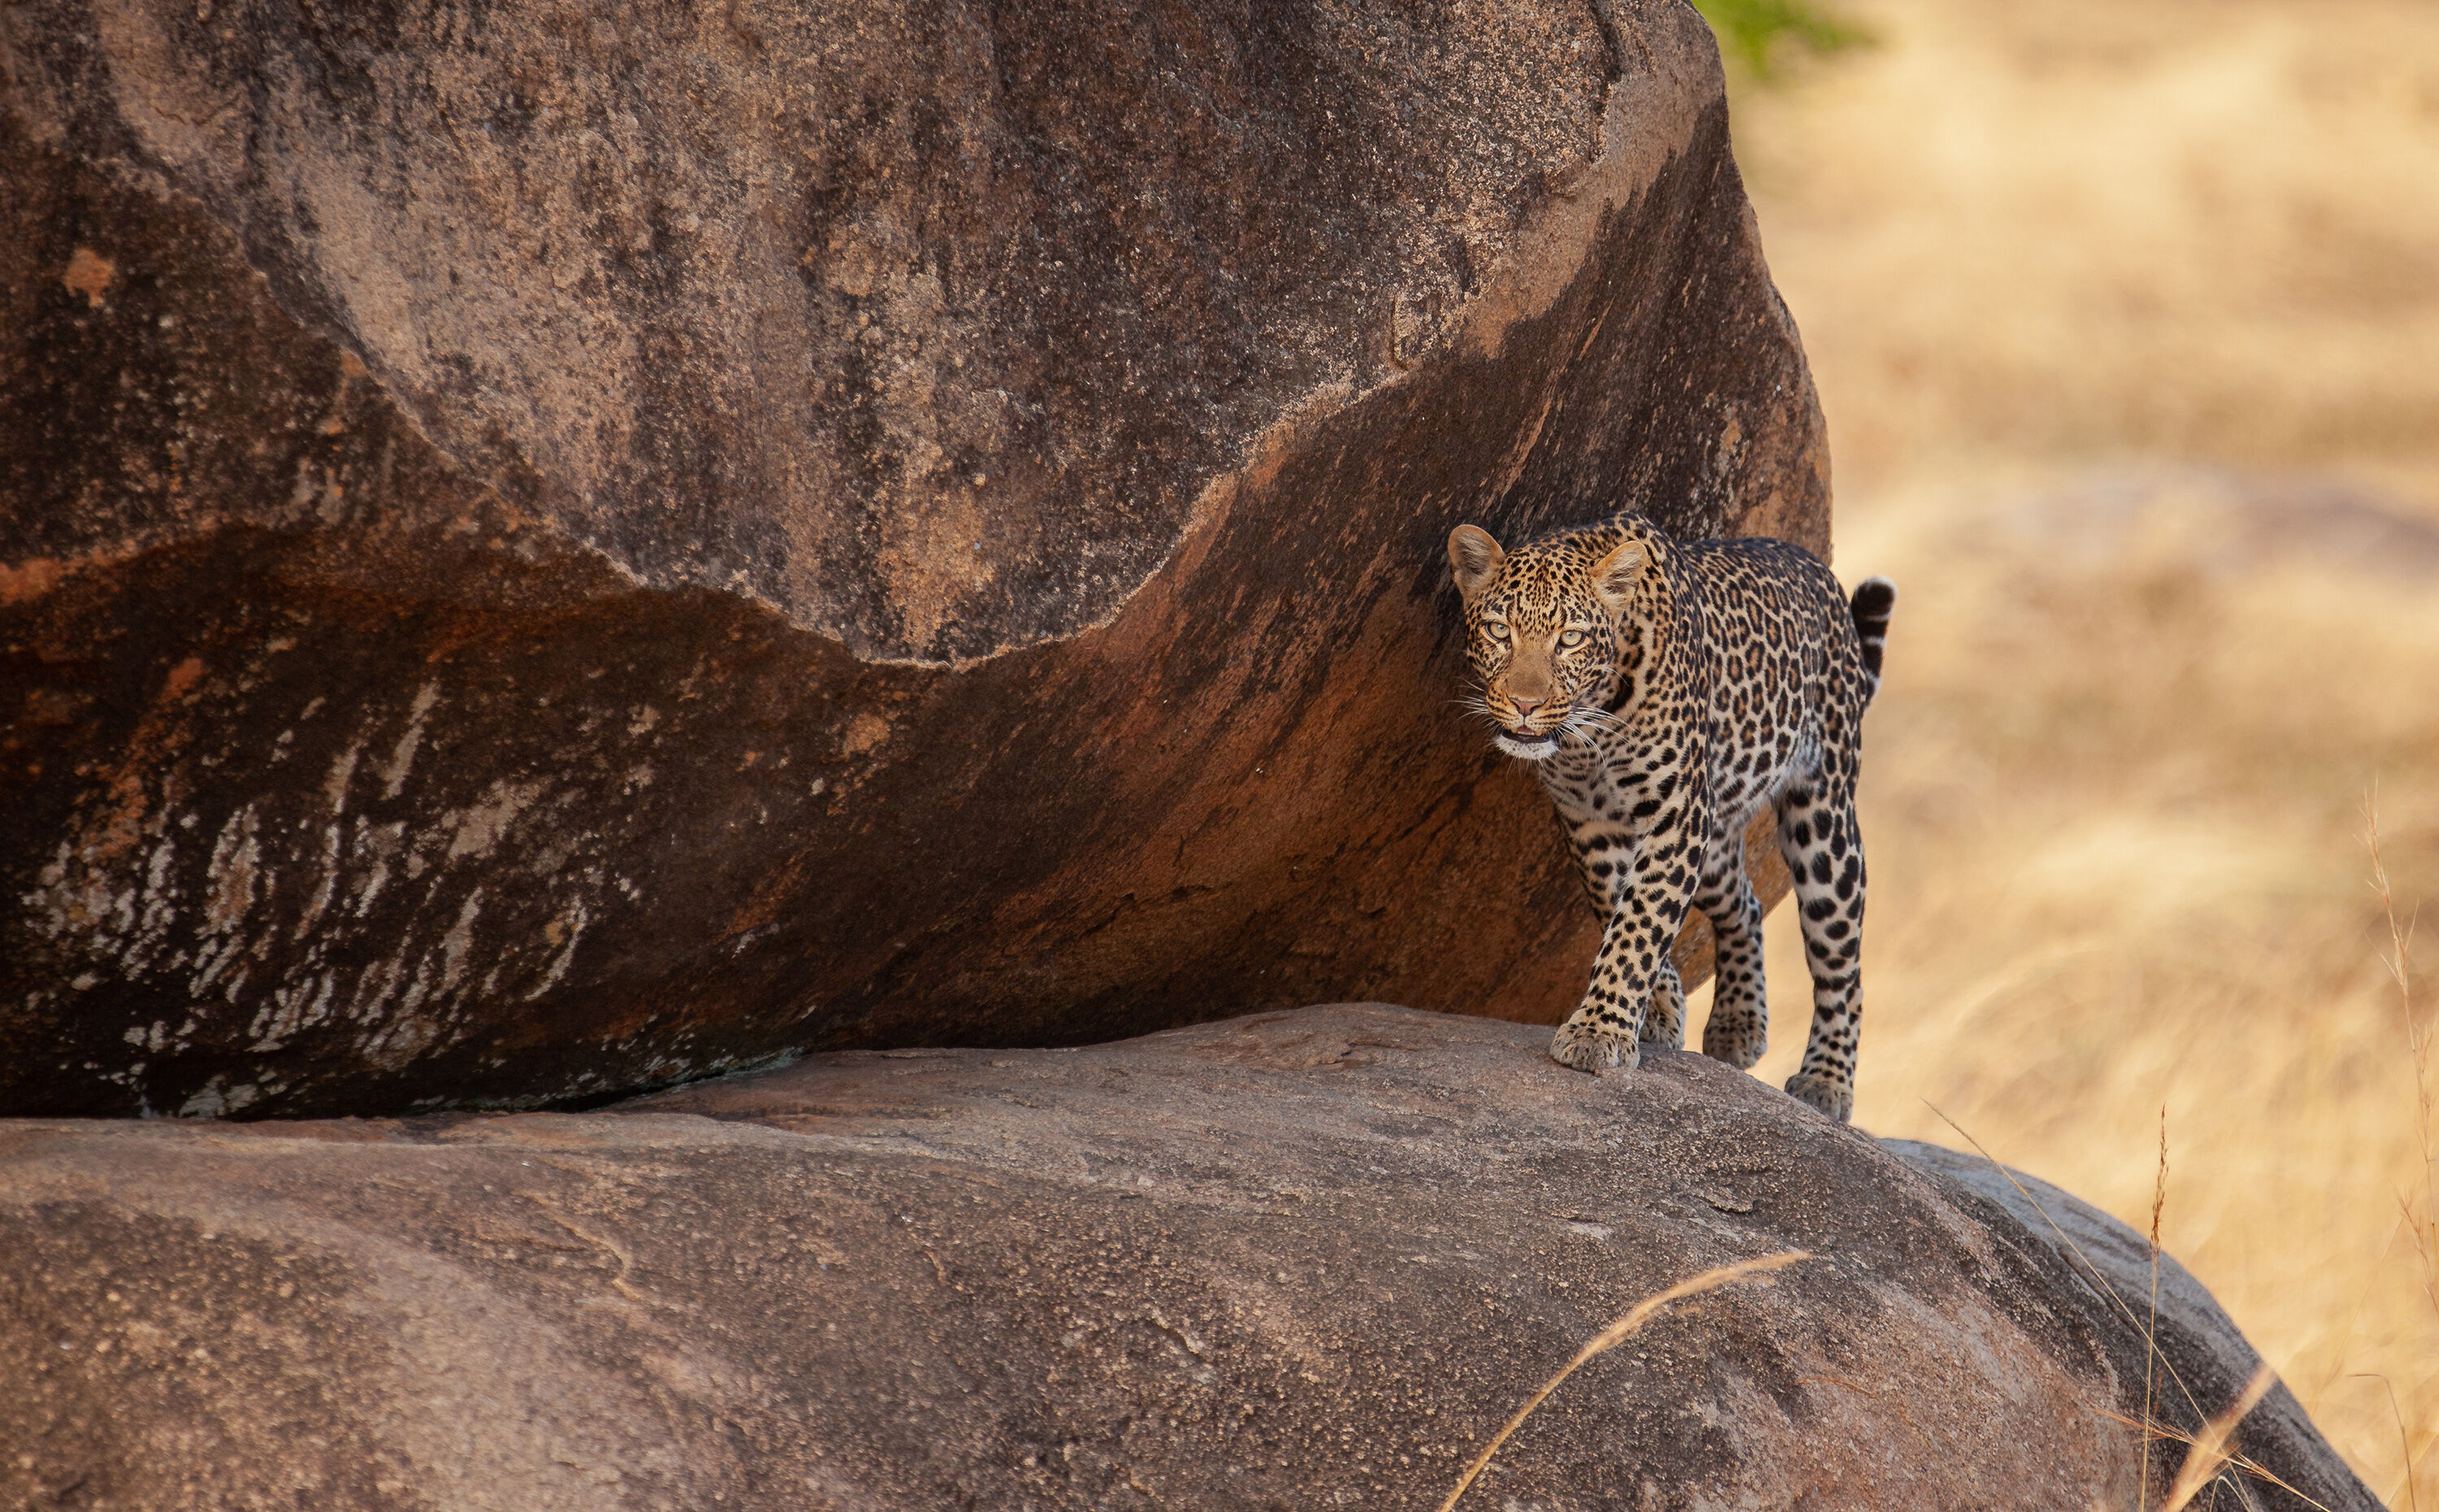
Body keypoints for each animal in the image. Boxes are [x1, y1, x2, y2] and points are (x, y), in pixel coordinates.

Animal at [1434, 510, 1893, 1122]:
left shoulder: (1677, 816)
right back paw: (1738, 1023)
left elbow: (1641, 922)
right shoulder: (1590, 821)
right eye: (1498, 631)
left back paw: (1826, 1080)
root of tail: (1821, 572)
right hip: (1718, 833)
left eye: (1570, 638)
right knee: (1744, 903)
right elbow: (1618, 907)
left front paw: (1599, 1031)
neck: (1589, 731)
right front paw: (1657, 1008)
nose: (1525, 705)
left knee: (1842, 962)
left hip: (1825, 820)